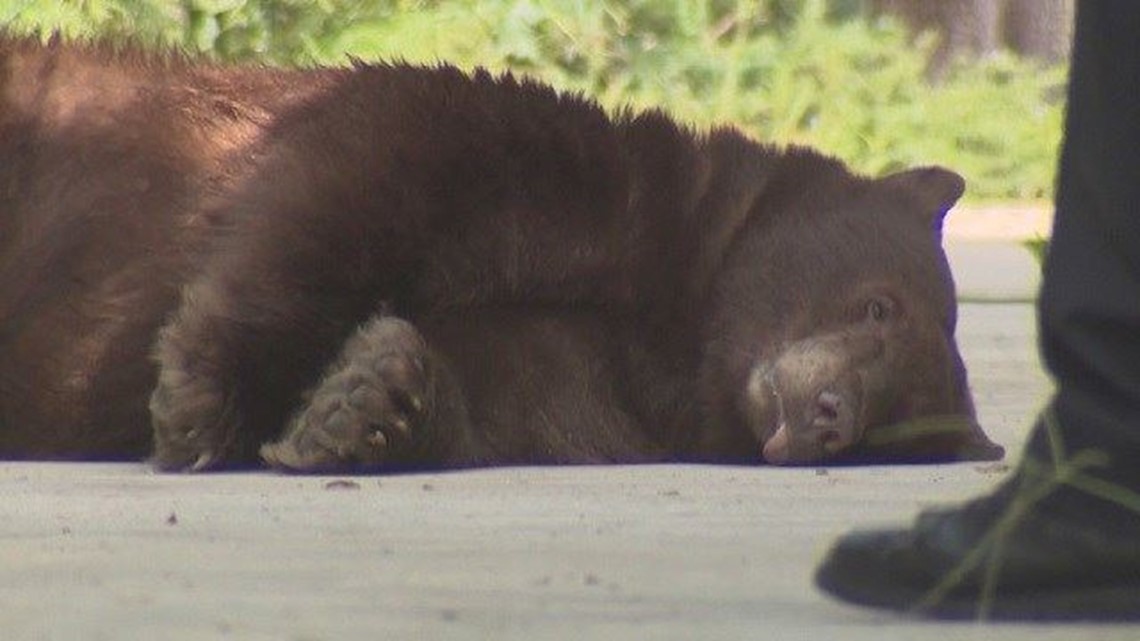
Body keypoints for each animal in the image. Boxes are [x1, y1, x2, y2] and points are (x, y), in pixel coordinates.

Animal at [0, 34, 1003, 472]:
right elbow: (354, 172)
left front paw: (364, 401)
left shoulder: (605, 385)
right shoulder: (563, 168)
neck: (678, 323)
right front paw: (202, 400)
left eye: (892, 425)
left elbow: (496, 397)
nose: (833, 414)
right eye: (878, 306)